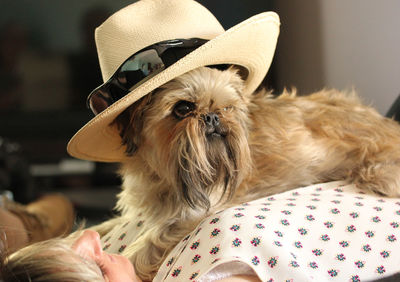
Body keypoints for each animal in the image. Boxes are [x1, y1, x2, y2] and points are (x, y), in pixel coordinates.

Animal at [92, 66, 400, 280]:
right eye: (183, 108)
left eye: (226, 107)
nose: (213, 116)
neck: (163, 173)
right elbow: (108, 226)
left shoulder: (194, 212)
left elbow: (147, 244)